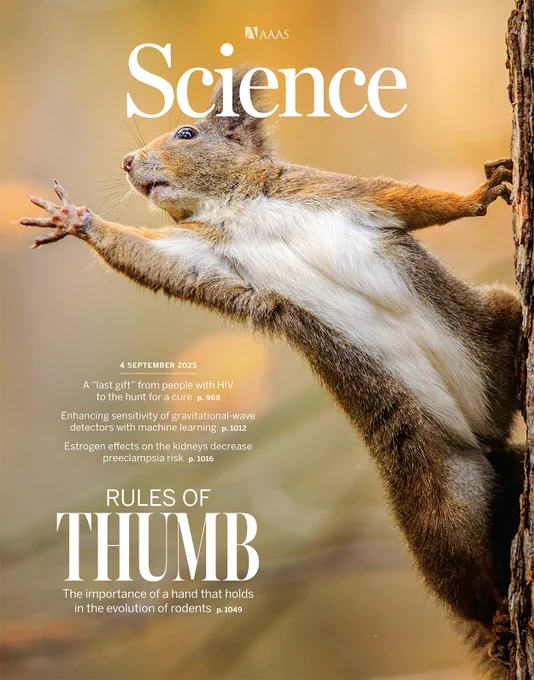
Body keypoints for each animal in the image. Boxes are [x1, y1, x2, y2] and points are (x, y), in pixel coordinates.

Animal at [18, 69, 523, 677]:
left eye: (187, 133)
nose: (126, 161)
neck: (235, 206)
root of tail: (485, 435)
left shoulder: (332, 192)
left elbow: (405, 199)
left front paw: (477, 196)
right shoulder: (203, 254)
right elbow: (152, 259)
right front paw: (77, 221)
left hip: (494, 325)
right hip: (438, 495)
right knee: (460, 569)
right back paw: (495, 619)